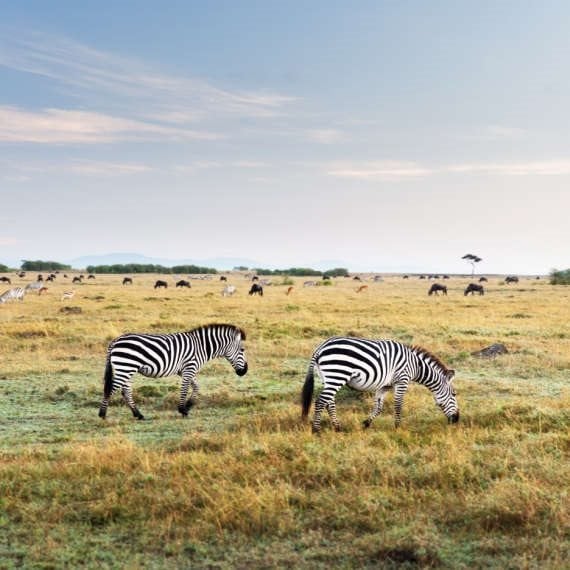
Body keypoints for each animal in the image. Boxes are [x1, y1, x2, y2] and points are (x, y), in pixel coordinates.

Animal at [97, 322, 246, 420]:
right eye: (242, 350)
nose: (244, 371)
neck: (201, 347)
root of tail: (115, 341)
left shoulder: (185, 370)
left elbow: (196, 387)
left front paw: (188, 406)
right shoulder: (189, 368)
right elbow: (185, 389)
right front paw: (182, 409)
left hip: (126, 369)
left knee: (126, 391)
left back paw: (138, 414)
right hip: (125, 367)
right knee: (110, 389)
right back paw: (102, 415)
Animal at [302, 332, 458, 430]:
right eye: (454, 394)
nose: (457, 420)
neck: (415, 365)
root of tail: (321, 347)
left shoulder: (385, 386)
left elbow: (379, 407)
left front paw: (366, 423)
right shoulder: (402, 380)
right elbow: (398, 405)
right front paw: (398, 427)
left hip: (328, 377)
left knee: (329, 402)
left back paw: (337, 427)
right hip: (337, 373)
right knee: (321, 401)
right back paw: (316, 430)